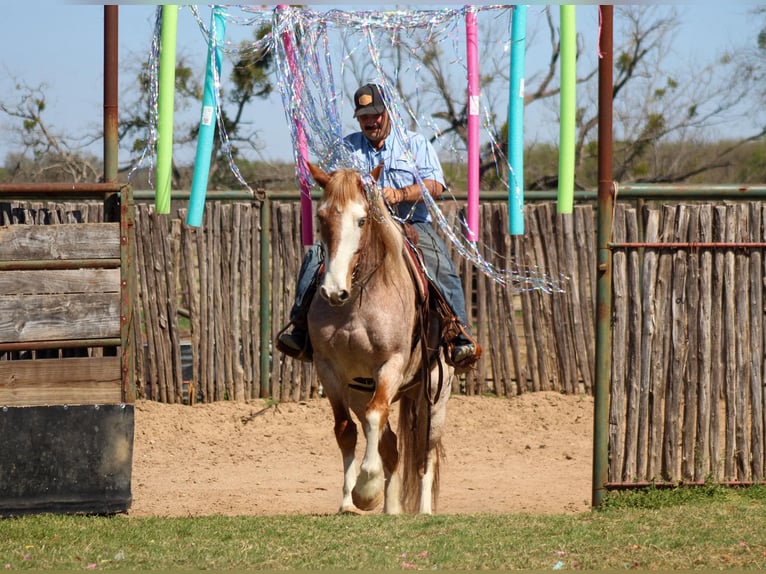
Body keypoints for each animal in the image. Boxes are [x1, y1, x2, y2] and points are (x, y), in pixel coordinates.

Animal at [306, 163, 454, 515]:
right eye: (321, 216)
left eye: (362, 219)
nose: (333, 290)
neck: (356, 301)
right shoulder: (329, 370)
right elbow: (346, 429)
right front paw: (349, 501)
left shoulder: (391, 364)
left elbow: (376, 417)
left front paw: (367, 488)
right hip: (363, 391)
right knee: (391, 446)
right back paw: (391, 508)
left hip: (435, 396)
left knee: (425, 453)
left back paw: (424, 509)